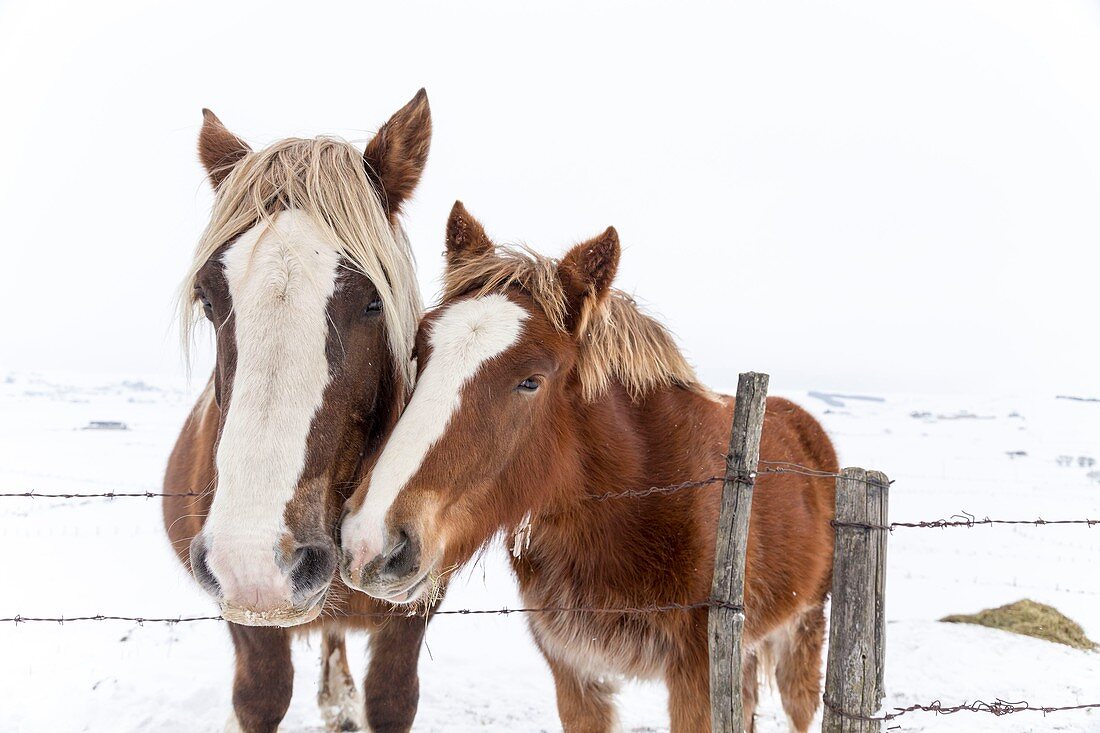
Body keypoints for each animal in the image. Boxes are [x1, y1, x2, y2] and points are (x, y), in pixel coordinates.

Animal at [162, 91, 437, 730]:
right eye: (208, 298)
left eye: (372, 301)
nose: (254, 563)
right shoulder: (249, 628)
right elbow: (261, 696)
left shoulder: (411, 615)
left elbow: (391, 700)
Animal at [338, 201, 836, 730]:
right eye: (419, 352)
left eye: (531, 381)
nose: (368, 541)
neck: (636, 504)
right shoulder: (574, 671)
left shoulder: (697, 681)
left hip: (803, 629)